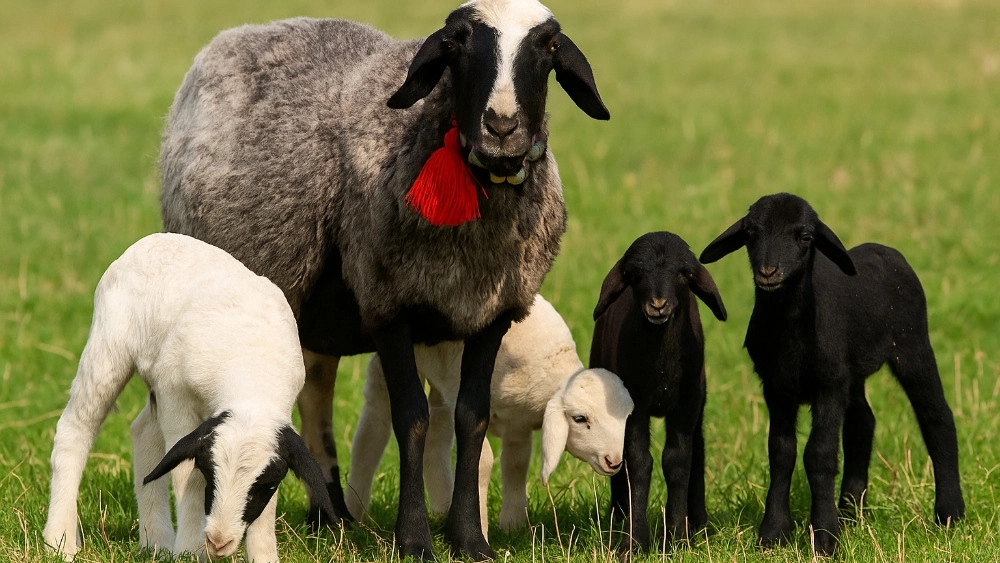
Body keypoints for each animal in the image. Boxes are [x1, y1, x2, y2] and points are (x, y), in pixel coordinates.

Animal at [42, 233, 335, 563]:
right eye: (209, 471)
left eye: (267, 484)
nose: (219, 542)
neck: (249, 373)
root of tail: (153, 240)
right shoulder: (176, 395)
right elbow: (187, 474)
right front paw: (190, 550)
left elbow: (265, 509)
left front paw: (263, 556)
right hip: (109, 350)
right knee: (75, 430)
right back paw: (60, 540)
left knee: (143, 432)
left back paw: (156, 542)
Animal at [346, 295, 634, 539]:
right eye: (579, 419)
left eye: (625, 418)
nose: (614, 461)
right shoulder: (473, 408)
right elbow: (482, 461)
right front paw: (479, 530)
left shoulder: (518, 425)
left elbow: (516, 464)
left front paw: (513, 525)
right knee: (372, 428)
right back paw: (355, 508)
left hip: (444, 380)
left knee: (436, 431)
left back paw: (442, 509)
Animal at [589, 231, 728, 553]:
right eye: (634, 274)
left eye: (684, 274)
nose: (658, 305)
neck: (661, 371)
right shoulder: (634, 406)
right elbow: (639, 462)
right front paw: (633, 540)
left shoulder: (686, 406)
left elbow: (677, 461)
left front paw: (677, 536)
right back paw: (618, 517)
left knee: (697, 451)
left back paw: (699, 522)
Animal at [699, 192, 965, 555]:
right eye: (751, 234)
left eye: (805, 236)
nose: (769, 272)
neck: (789, 329)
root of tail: (885, 249)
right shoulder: (777, 387)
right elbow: (781, 452)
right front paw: (772, 534)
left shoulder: (828, 386)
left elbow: (819, 455)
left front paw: (824, 538)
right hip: (851, 373)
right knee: (863, 423)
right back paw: (851, 513)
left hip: (912, 345)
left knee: (936, 416)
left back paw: (949, 514)